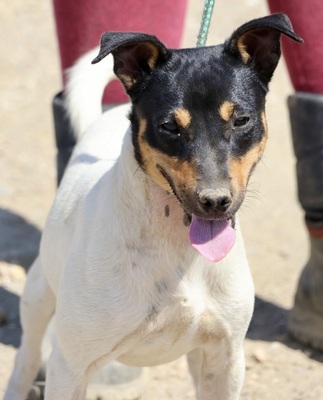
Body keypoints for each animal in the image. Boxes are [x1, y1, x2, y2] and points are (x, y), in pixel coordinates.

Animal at [5, 13, 302, 400]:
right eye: (169, 127)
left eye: (241, 120)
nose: (215, 202)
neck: (178, 249)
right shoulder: (70, 368)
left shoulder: (224, 358)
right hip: (38, 296)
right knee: (25, 358)